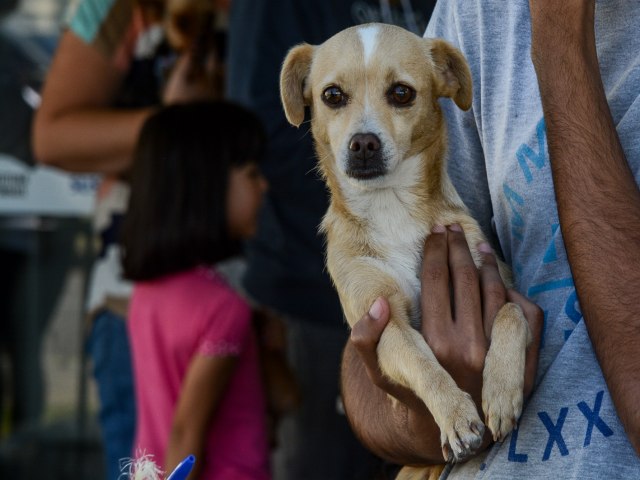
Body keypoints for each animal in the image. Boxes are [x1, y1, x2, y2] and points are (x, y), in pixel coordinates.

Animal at [280, 22, 528, 464]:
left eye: (401, 93)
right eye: (332, 95)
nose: (363, 143)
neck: (391, 206)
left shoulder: (500, 283)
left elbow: (511, 312)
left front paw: (500, 392)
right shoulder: (383, 326)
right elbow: (422, 361)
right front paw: (456, 414)